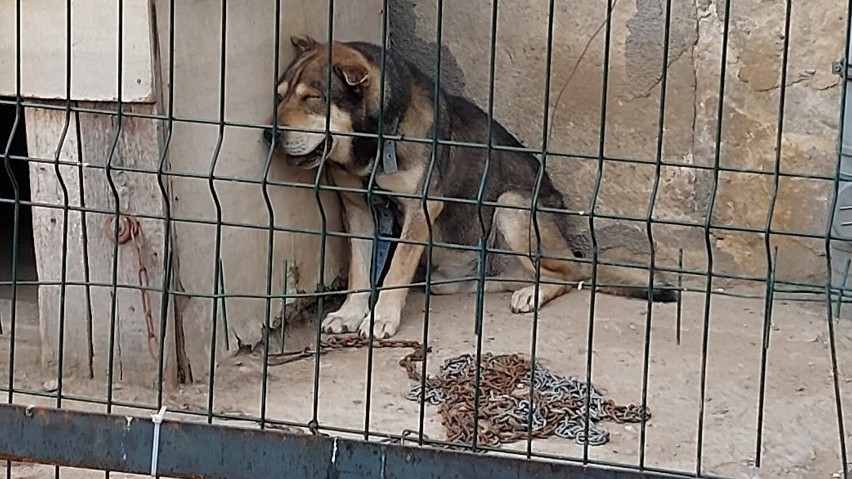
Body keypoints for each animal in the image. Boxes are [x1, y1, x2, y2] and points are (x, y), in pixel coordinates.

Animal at [262, 33, 676, 340]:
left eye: (312, 99)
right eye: (279, 95)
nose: (270, 135)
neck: (378, 141)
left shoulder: (421, 208)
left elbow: (395, 269)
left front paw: (381, 317)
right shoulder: (360, 208)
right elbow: (361, 270)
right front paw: (350, 312)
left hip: (512, 207)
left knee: (570, 275)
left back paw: (534, 292)